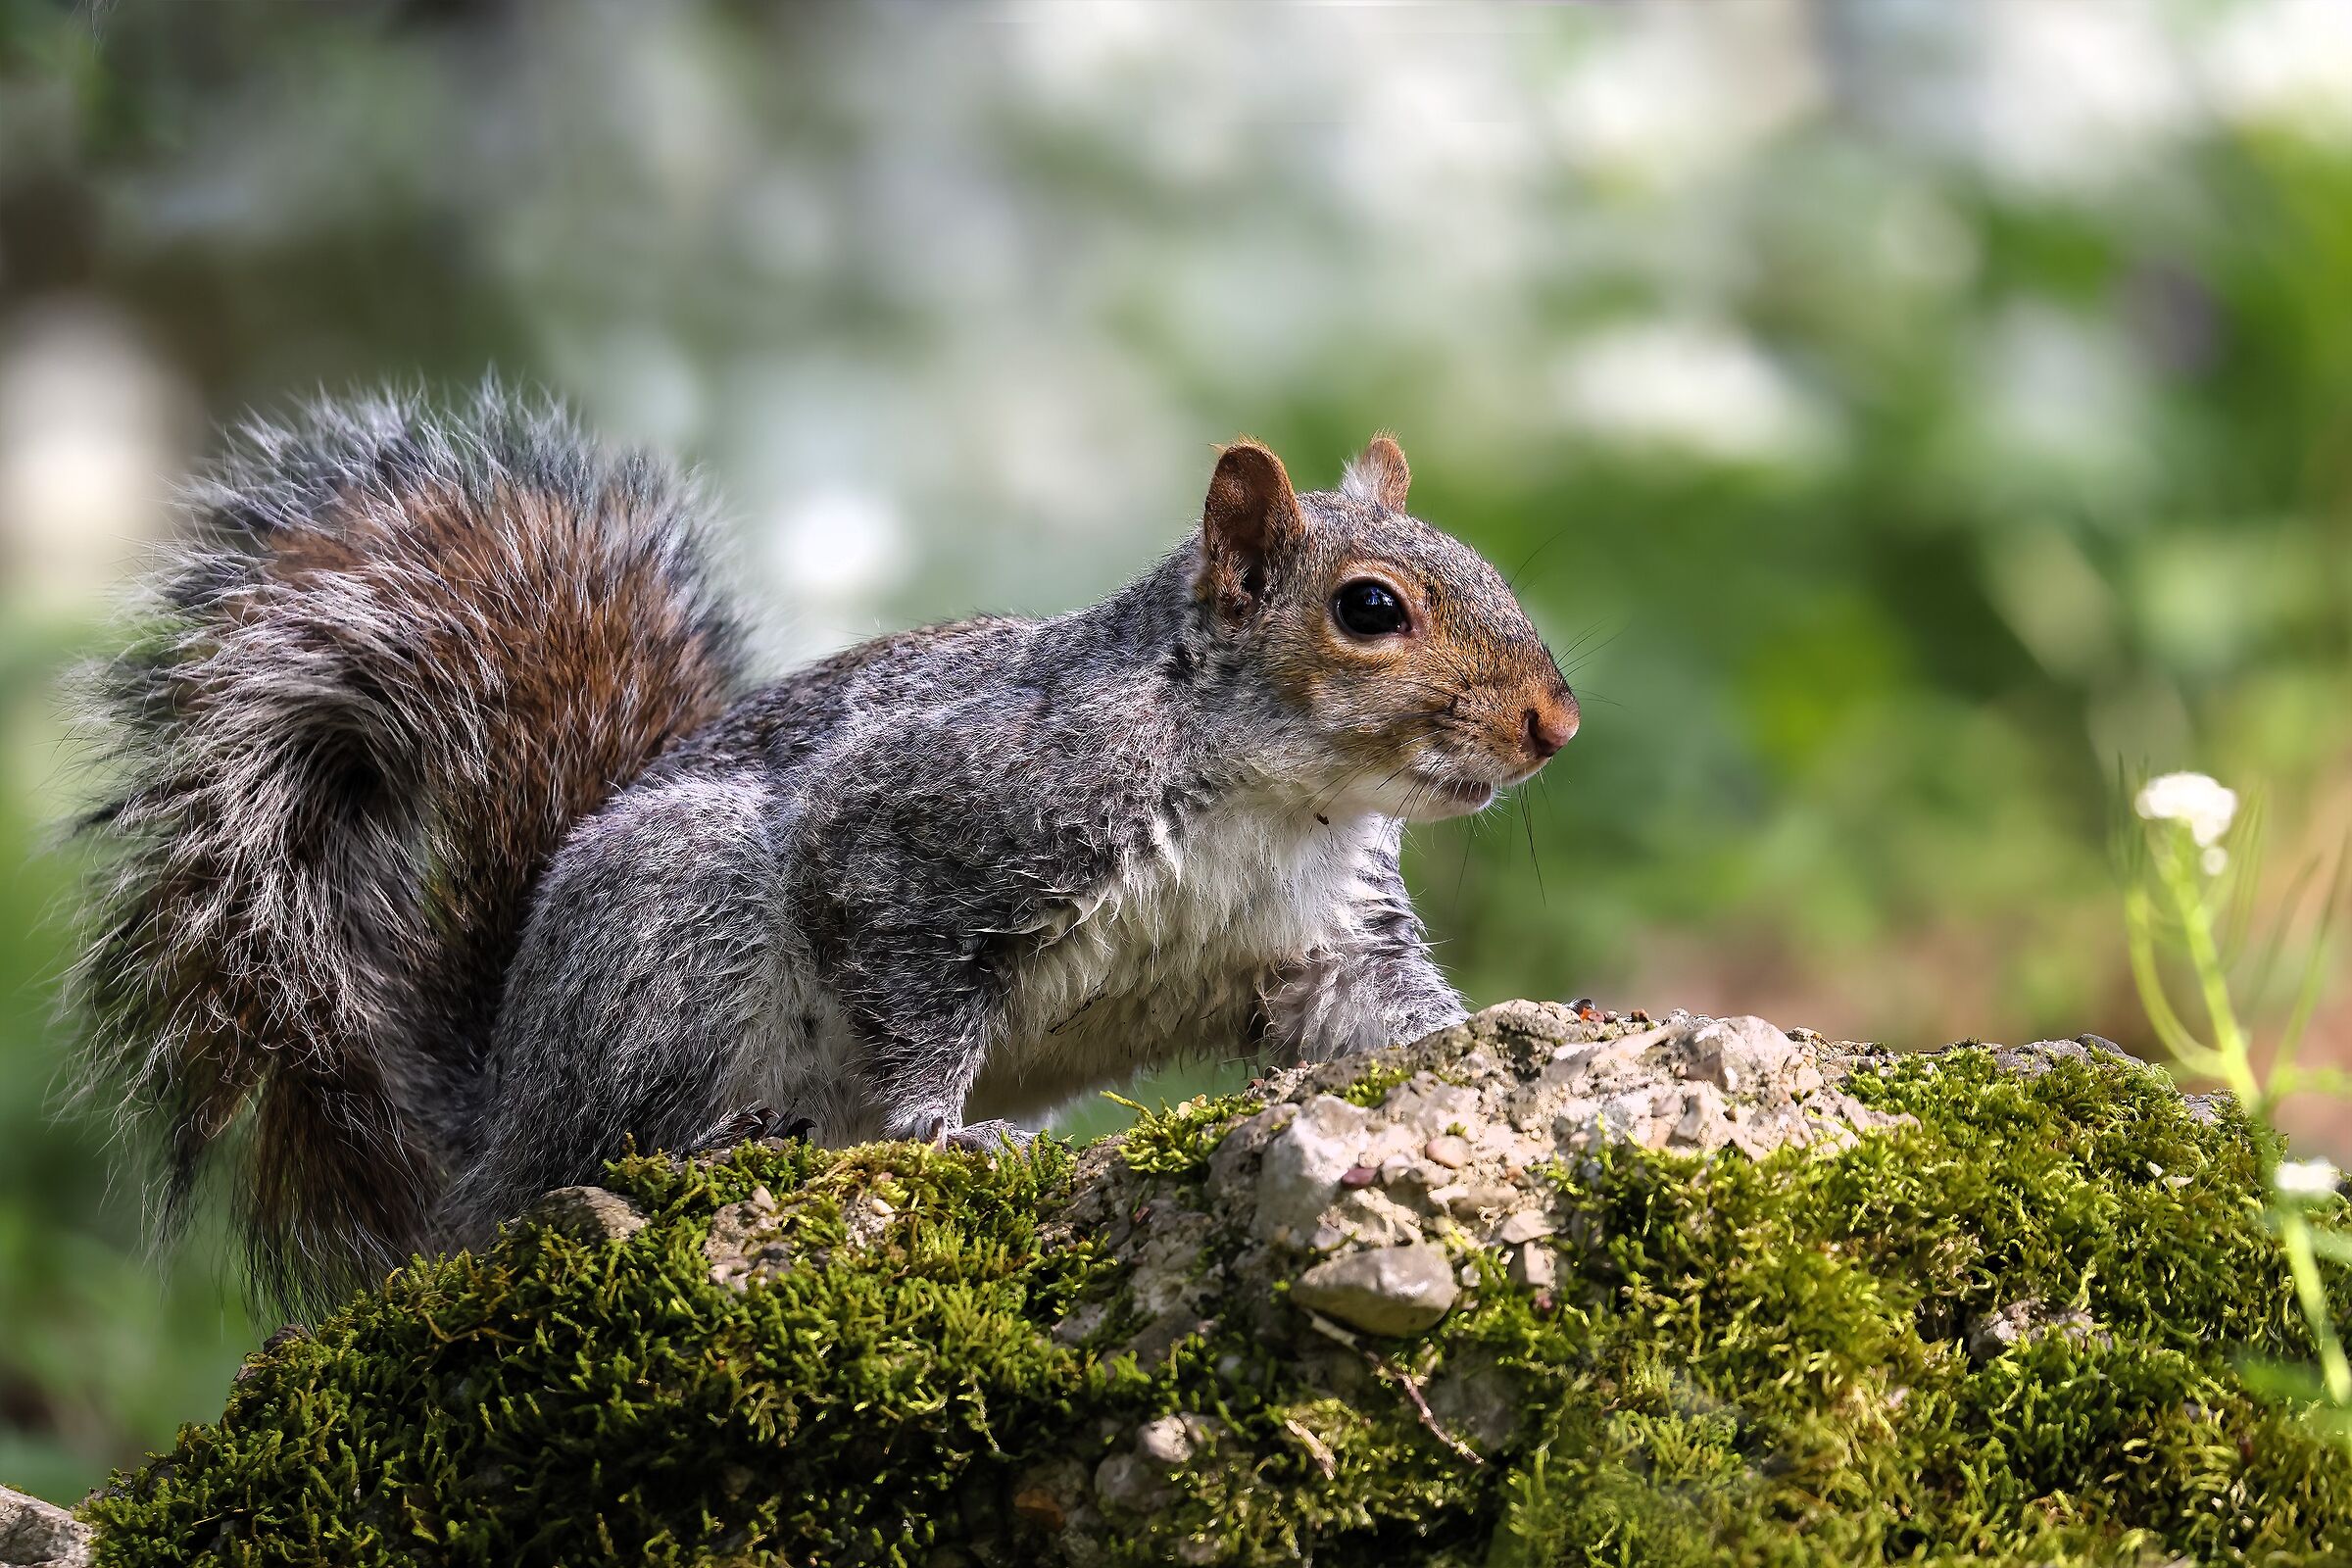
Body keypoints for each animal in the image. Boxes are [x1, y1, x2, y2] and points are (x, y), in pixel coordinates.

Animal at [70, 386, 1577, 1309]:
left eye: (1487, 565)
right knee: (606, 1152)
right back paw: (716, 1147)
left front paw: (1516, 1026)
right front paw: (942, 1135)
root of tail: (490, 1117)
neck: (1275, 798)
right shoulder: (929, 840)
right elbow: (908, 998)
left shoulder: (1323, 939)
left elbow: (1385, 1019)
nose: (1553, 723)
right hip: (677, 946)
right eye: (1369, 608)